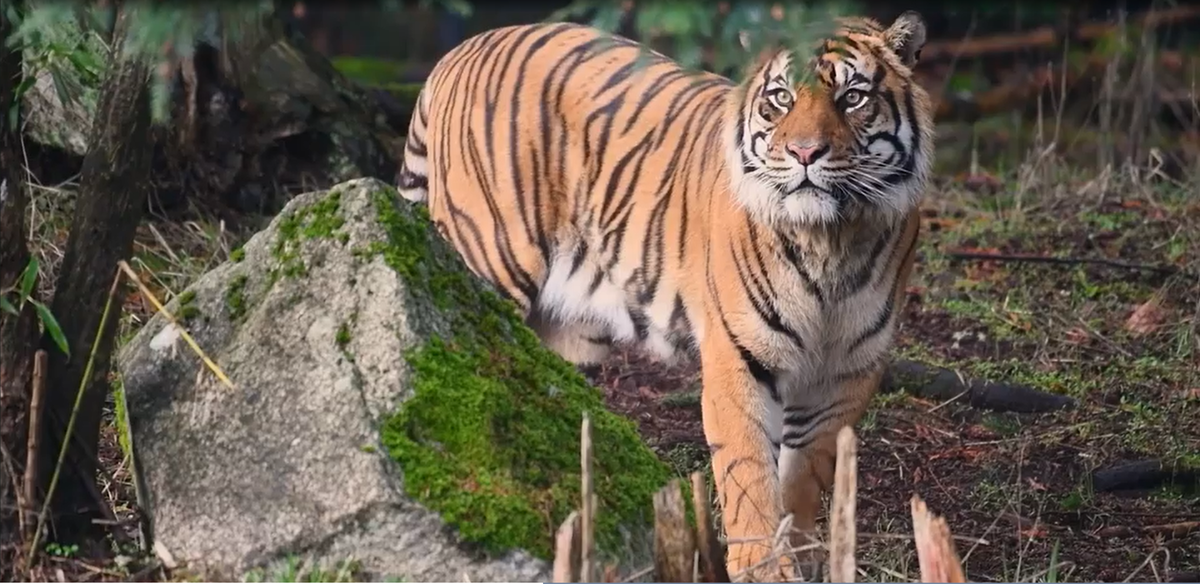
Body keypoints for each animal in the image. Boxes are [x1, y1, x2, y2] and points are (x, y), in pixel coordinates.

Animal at [396, 11, 933, 581]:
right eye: (782, 98)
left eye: (852, 97)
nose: (804, 152)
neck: (830, 241)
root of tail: (463, 48)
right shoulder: (739, 357)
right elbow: (748, 471)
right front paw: (762, 565)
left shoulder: (848, 369)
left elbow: (807, 471)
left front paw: (805, 555)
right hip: (485, 261)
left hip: (571, 335)